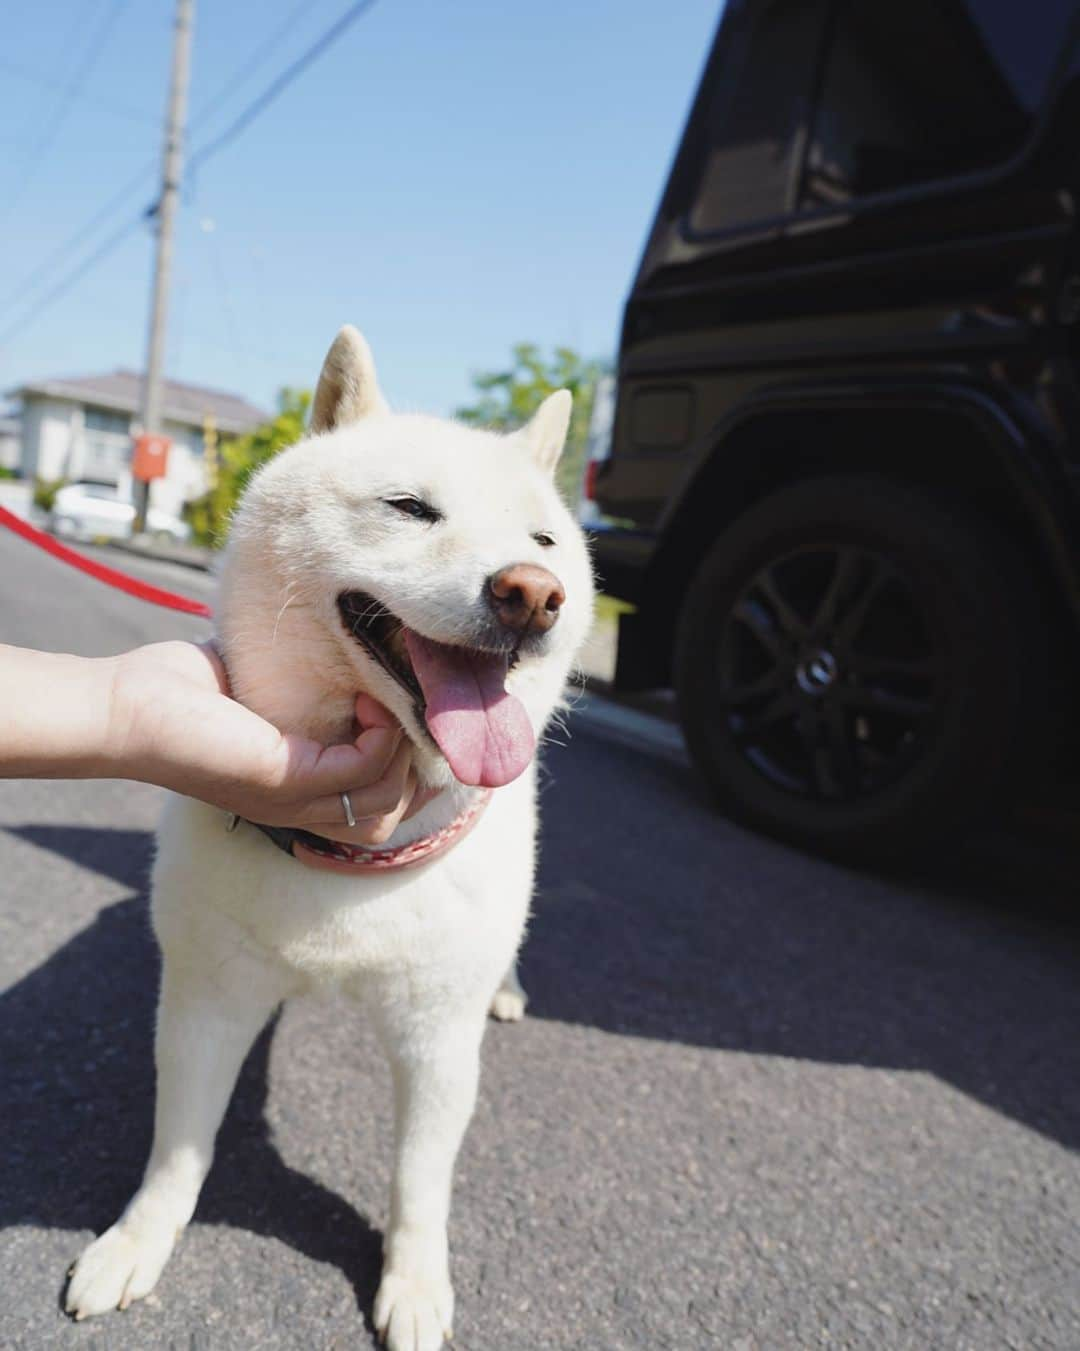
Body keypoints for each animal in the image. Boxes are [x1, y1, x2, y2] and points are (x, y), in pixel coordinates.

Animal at [64, 329, 594, 1351]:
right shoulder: (206, 1001)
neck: (354, 862)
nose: (532, 593)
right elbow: (177, 1151)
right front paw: (137, 1242)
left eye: (545, 544)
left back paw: (509, 989)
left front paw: (415, 1283)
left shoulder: (436, 1034)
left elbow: (420, 1182)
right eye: (410, 508)